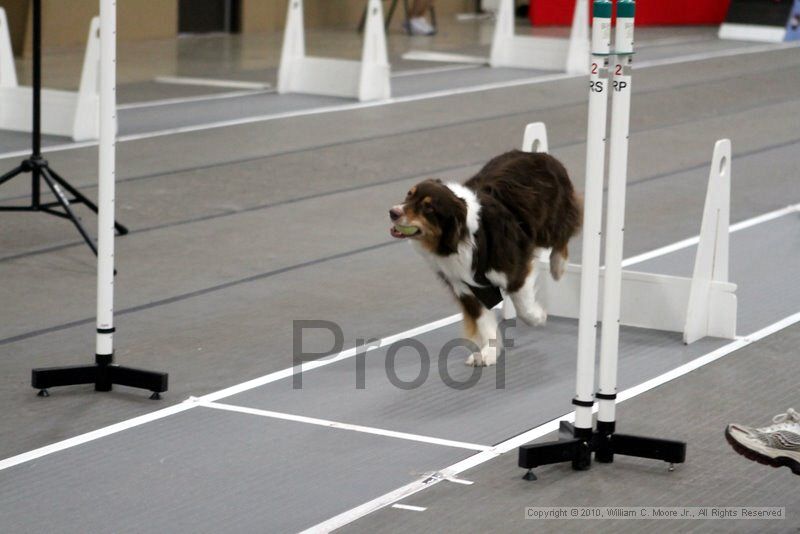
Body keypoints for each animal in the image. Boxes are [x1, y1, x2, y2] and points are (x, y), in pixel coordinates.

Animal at [390, 150, 580, 368]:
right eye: (409, 194)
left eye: (428, 208)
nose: (392, 212)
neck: (461, 237)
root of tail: (539, 154)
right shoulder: (466, 287)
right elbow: (484, 320)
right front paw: (489, 352)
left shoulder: (513, 270)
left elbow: (522, 306)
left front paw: (538, 318)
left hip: (551, 221)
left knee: (565, 232)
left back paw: (558, 266)